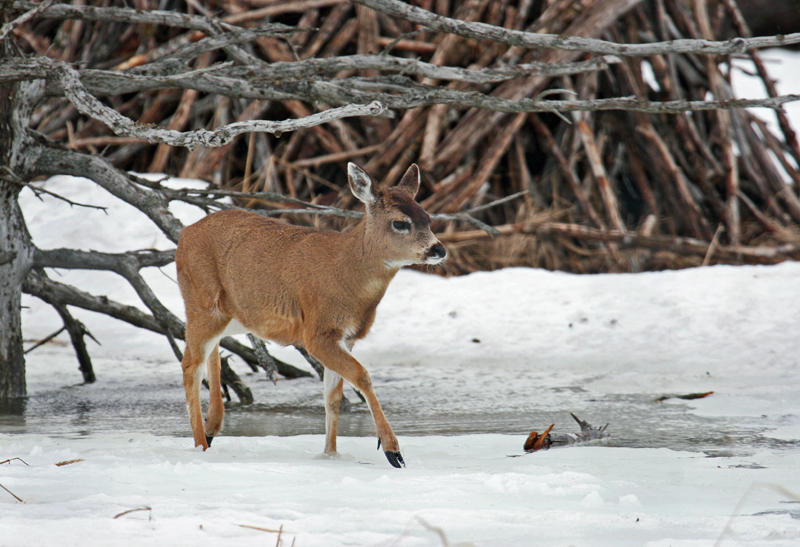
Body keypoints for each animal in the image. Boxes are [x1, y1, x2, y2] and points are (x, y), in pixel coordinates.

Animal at [176, 162, 446, 466]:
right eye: (400, 222)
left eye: (427, 217)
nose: (438, 249)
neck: (347, 273)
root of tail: (184, 235)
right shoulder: (317, 331)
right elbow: (361, 375)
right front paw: (392, 451)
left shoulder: (347, 337)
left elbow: (333, 396)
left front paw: (330, 454)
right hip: (201, 301)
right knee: (190, 365)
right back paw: (200, 444)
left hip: (229, 315)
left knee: (212, 356)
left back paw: (211, 431)